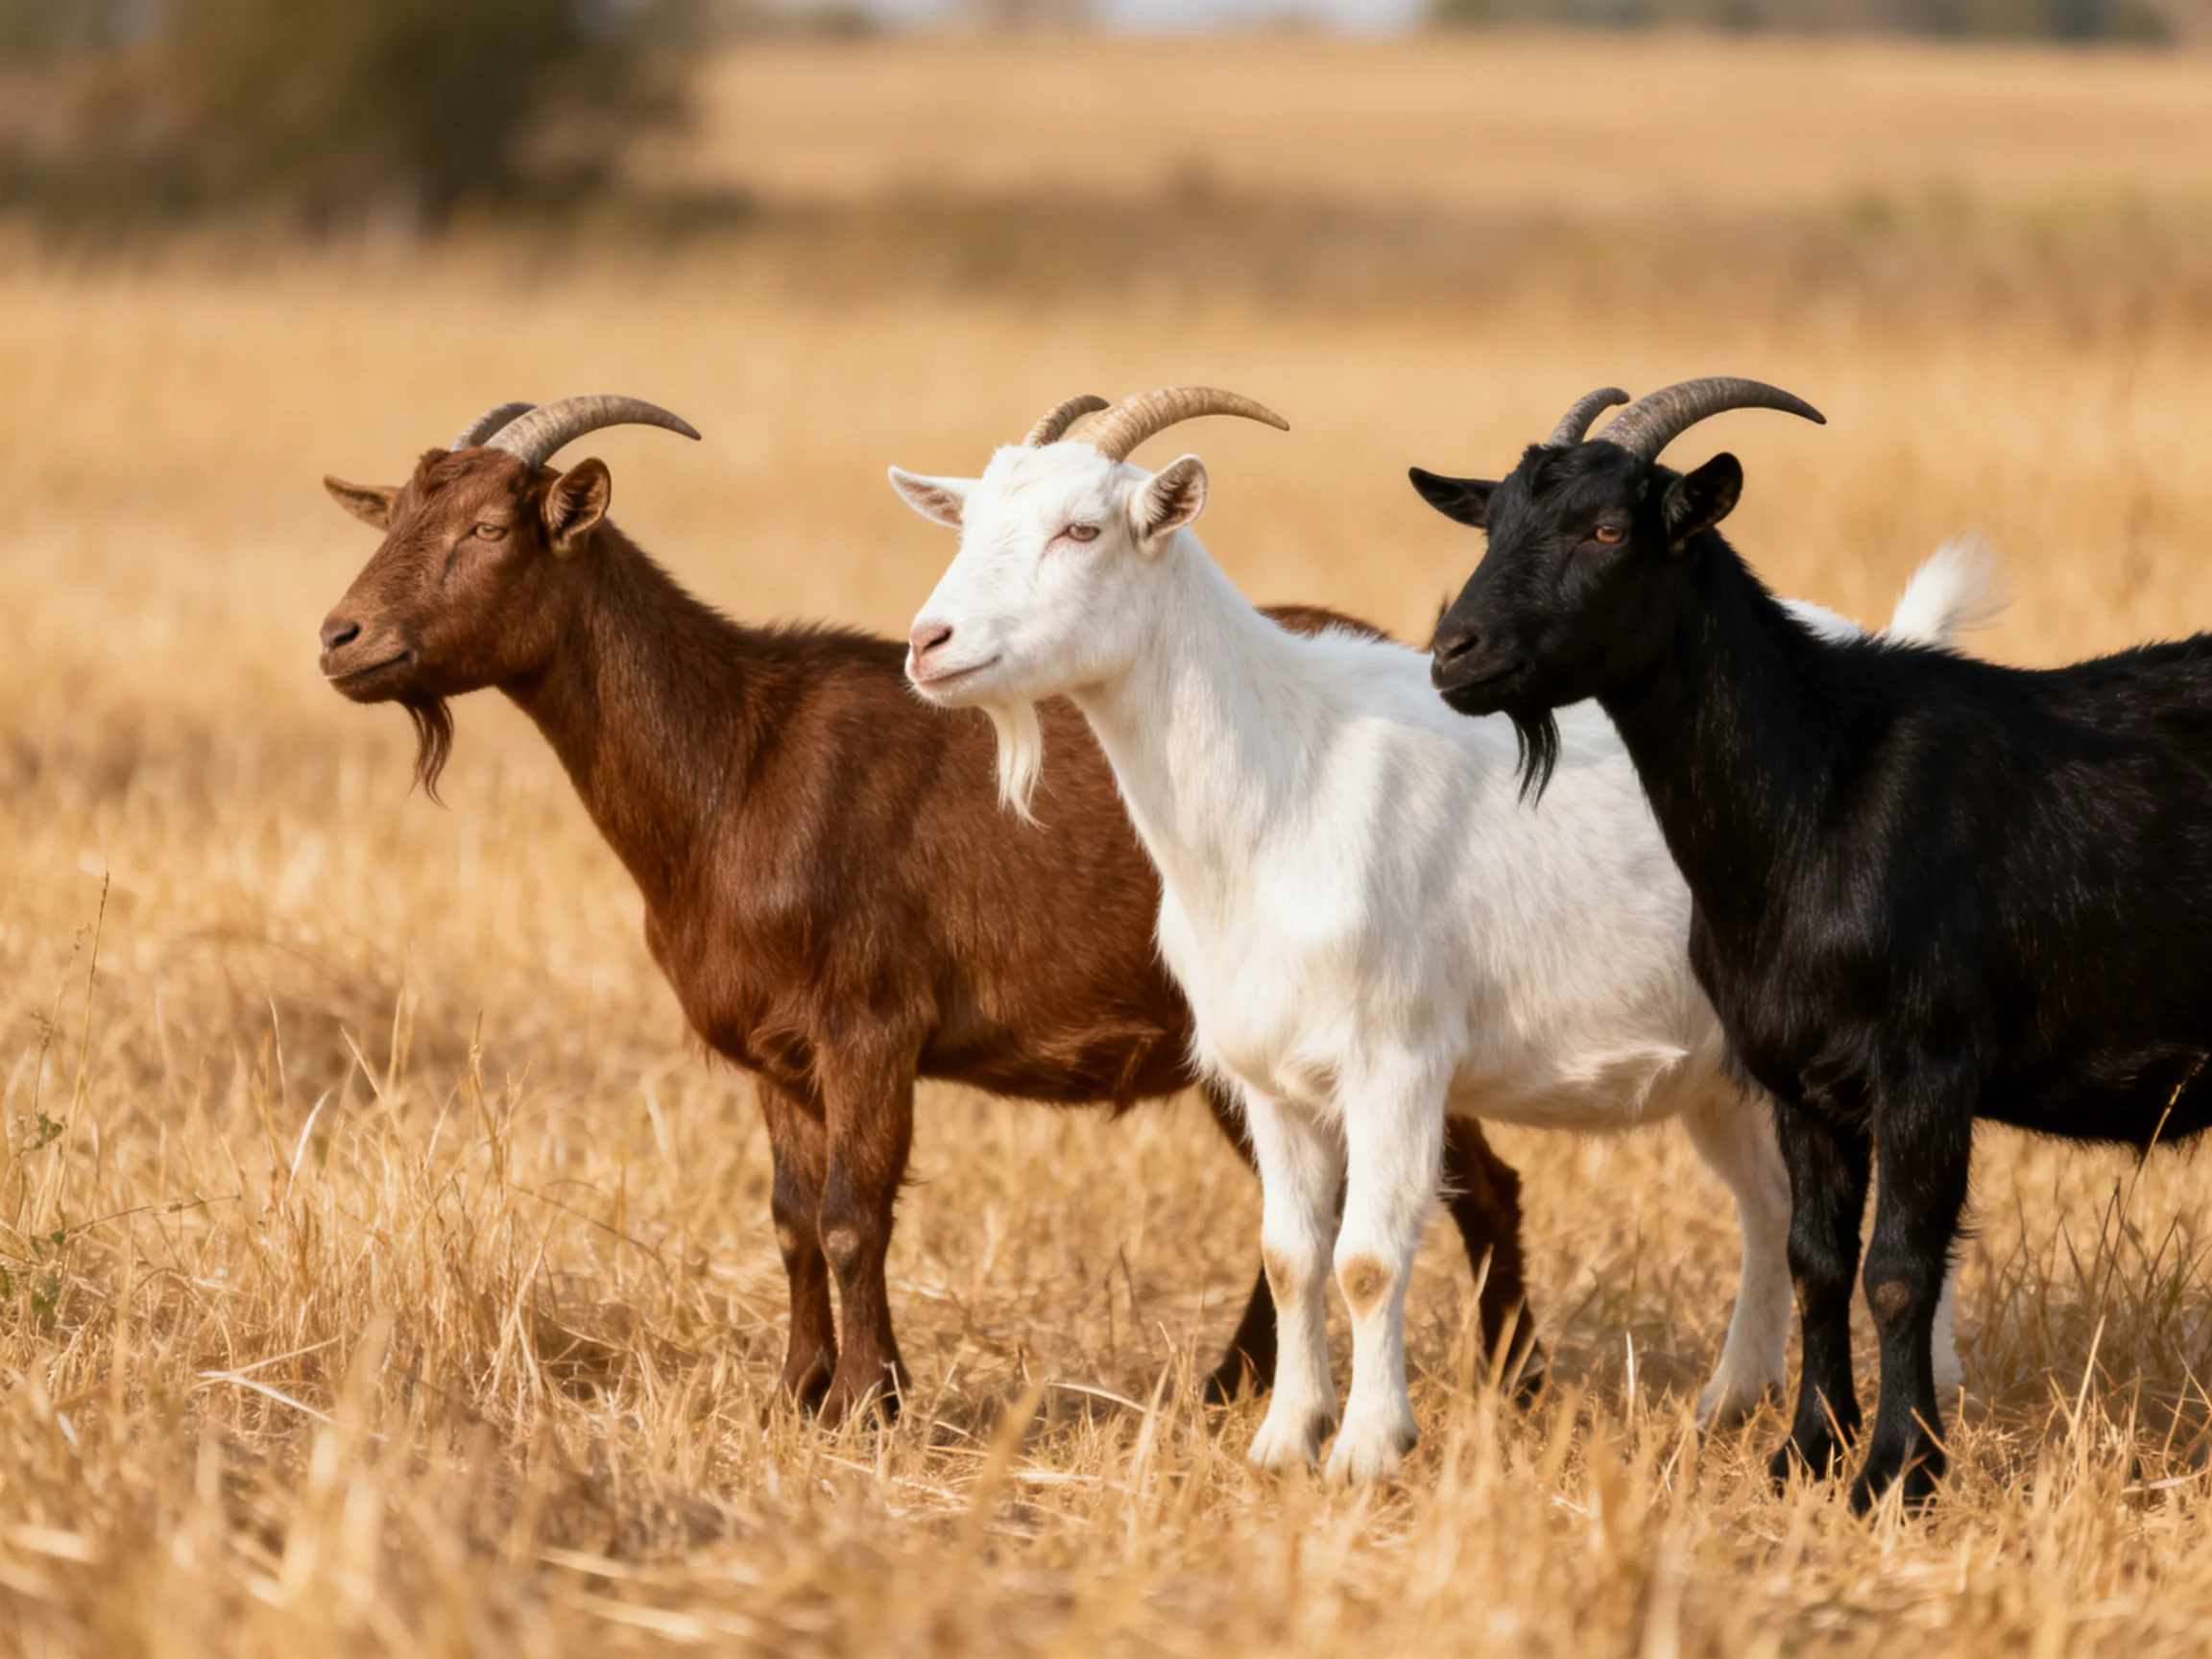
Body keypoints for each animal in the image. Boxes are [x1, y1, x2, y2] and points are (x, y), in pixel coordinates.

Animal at [317, 393, 1537, 1425]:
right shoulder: (779, 1053)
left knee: (1472, 1179)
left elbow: (856, 1218)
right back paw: (1233, 1388)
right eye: (397, 514)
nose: (341, 639)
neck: (737, 764)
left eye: (488, 528)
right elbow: (792, 1221)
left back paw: (1513, 1389)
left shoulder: (870, 1026)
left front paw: (871, 1405)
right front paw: (798, 1396)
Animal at [892, 386, 1976, 1481]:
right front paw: (1283, 1440)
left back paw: (1936, 1396)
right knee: (1768, 1204)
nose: (930, 643)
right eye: (969, 523)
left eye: (1083, 530)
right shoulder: (1267, 1078)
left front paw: (1371, 1448)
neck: (1286, 774)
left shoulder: (1395, 1062)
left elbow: (1367, 1258)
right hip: (1726, 1070)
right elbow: (1290, 1257)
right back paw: (1727, 1403)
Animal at [1418, 376, 2181, 1511]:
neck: (1823, 789)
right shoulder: (1797, 1077)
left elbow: (1899, 1270)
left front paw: (1899, 1474)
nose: (1452, 654)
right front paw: (1806, 1454)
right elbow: (1815, 1257)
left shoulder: (1927, 1069)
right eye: (1493, 520)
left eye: (1608, 530)